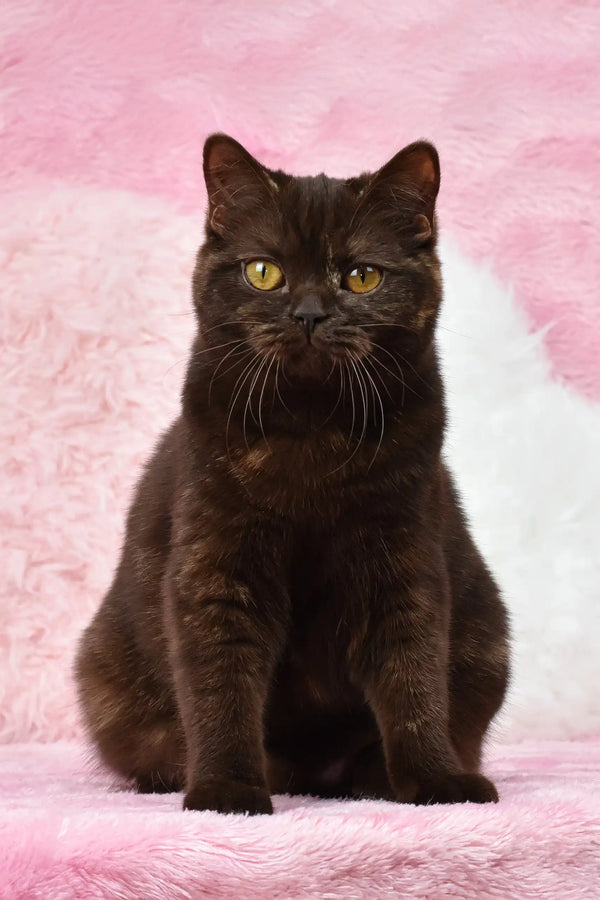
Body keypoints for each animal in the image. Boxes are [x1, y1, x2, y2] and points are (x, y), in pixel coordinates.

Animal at [72, 134, 508, 816]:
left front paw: (437, 780)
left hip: (488, 643)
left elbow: (412, 676)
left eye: (361, 276)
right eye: (264, 271)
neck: (311, 432)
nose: (308, 313)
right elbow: (220, 683)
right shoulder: (217, 565)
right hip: (104, 676)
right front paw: (226, 789)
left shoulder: (401, 554)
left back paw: (373, 777)